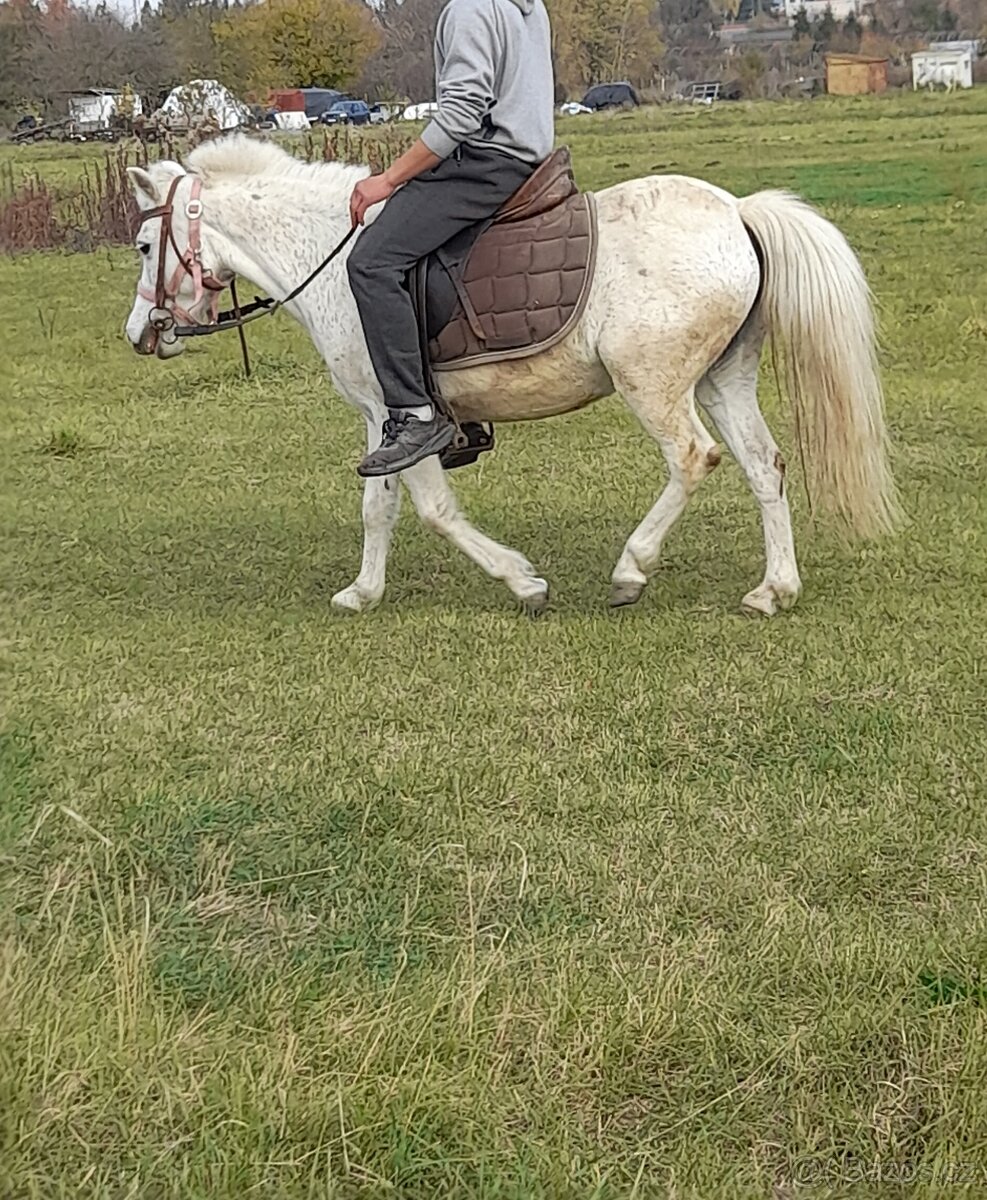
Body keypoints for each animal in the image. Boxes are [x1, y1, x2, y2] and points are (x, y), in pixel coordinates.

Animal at [123, 134, 900, 616]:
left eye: (143, 245)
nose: (140, 333)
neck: (333, 254)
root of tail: (737, 212)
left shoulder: (399, 416)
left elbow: (430, 510)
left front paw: (521, 581)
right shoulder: (385, 421)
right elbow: (380, 507)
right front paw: (363, 592)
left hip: (653, 385)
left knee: (692, 457)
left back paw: (631, 569)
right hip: (721, 380)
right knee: (763, 466)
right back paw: (773, 590)